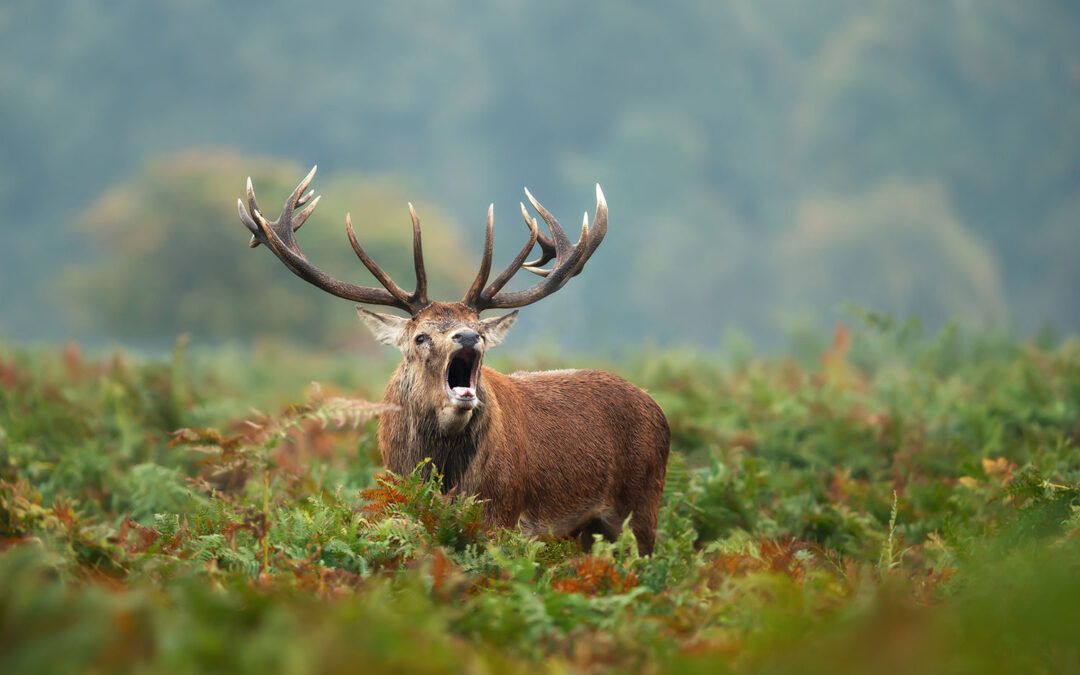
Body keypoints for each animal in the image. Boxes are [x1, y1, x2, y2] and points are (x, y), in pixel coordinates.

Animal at [237, 167, 670, 555]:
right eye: (420, 336)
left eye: (480, 329)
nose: (468, 336)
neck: (443, 480)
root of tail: (656, 406)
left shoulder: (503, 516)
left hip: (644, 503)